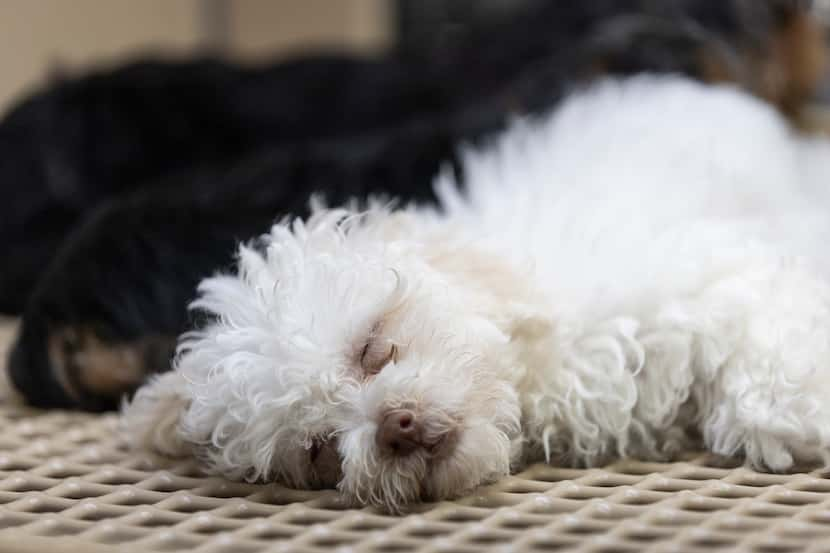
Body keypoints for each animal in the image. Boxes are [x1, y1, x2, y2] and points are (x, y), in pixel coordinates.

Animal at [122, 75, 830, 512]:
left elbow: (764, 361)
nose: (397, 426)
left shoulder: (715, 280)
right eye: (318, 450)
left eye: (372, 348)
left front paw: (791, 418)